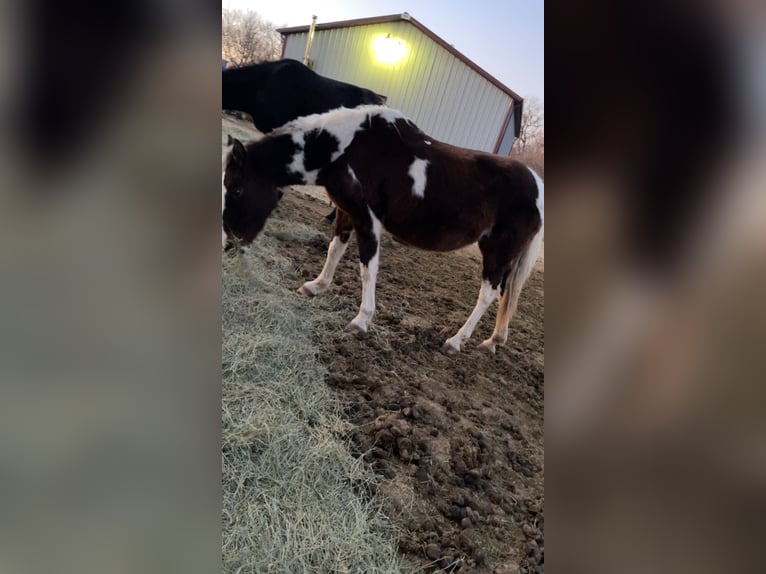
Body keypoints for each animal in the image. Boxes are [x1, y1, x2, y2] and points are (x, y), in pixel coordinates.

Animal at [222, 105, 544, 354]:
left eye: (236, 190)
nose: (229, 245)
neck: (350, 149)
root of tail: (536, 185)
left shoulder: (368, 220)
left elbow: (367, 268)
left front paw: (361, 321)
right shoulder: (346, 212)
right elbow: (334, 250)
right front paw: (315, 286)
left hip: (496, 250)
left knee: (488, 293)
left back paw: (455, 341)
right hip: (507, 256)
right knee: (506, 293)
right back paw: (493, 341)